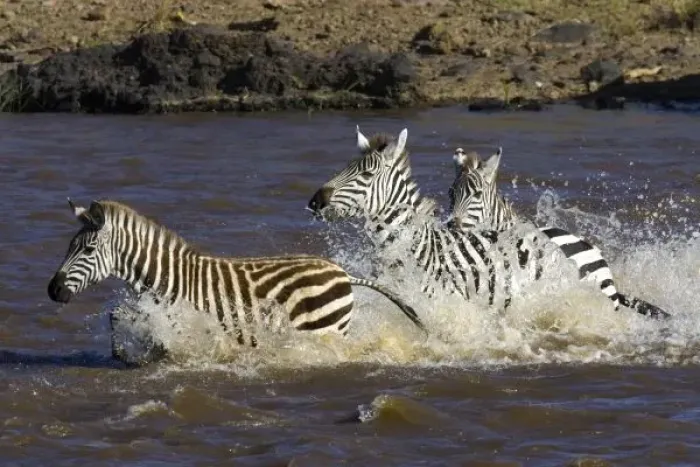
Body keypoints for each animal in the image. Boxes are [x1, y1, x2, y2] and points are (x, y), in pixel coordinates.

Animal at [47, 199, 426, 365]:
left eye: (88, 249)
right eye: (68, 246)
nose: (53, 290)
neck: (165, 278)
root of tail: (343, 272)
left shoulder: (183, 319)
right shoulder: (151, 311)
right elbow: (115, 316)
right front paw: (125, 354)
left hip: (326, 329)